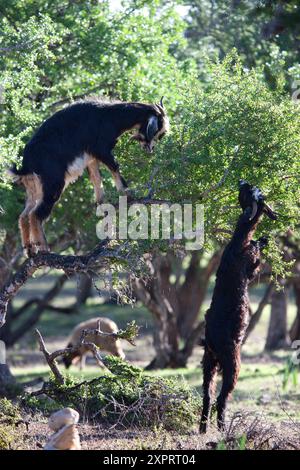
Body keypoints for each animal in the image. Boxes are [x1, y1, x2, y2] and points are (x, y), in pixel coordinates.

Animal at [9, 96, 169, 258]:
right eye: (159, 131)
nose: (150, 148)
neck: (111, 115)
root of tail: (26, 165)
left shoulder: (91, 158)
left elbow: (97, 180)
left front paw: (102, 205)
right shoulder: (101, 149)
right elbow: (115, 167)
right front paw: (127, 194)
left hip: (34, 188)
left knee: (24, 215)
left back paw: (29, 249)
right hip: (53, 185)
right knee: (35, 215)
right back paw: (44, 248)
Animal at [200, 180, 278, 434]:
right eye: (253, 191)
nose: (242, 181)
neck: (237, 242)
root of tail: (212, 339)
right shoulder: (251, 267)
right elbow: (256, 260)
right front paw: (263, 240)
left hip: (209, 361)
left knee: (207, 394)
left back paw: (203, 430)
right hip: (232, 361)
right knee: (222, 397)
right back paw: (223, 429)